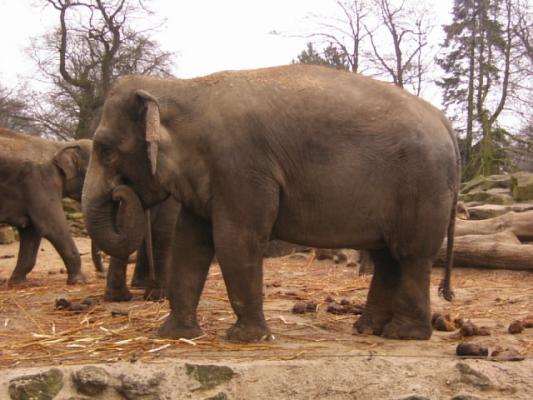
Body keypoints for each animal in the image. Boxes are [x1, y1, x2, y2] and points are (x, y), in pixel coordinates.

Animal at [0, 128, 98, 284]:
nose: (102, 275)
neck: (59, 145)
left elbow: (31, 231)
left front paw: (19, 283)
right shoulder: (40, 180)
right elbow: (51, 226)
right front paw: (82, 281)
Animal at [81, 65, 460, 340]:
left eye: (105, 150)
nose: (119, 193)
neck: (182, 88)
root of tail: (443, 120)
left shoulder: (241, 166)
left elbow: (236, 240)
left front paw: (246, 339)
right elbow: (190, 244)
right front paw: (173, 334)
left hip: (422, 186)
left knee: (411, 255)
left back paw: (403, 334)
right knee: (386, 258)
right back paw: (368, 330)